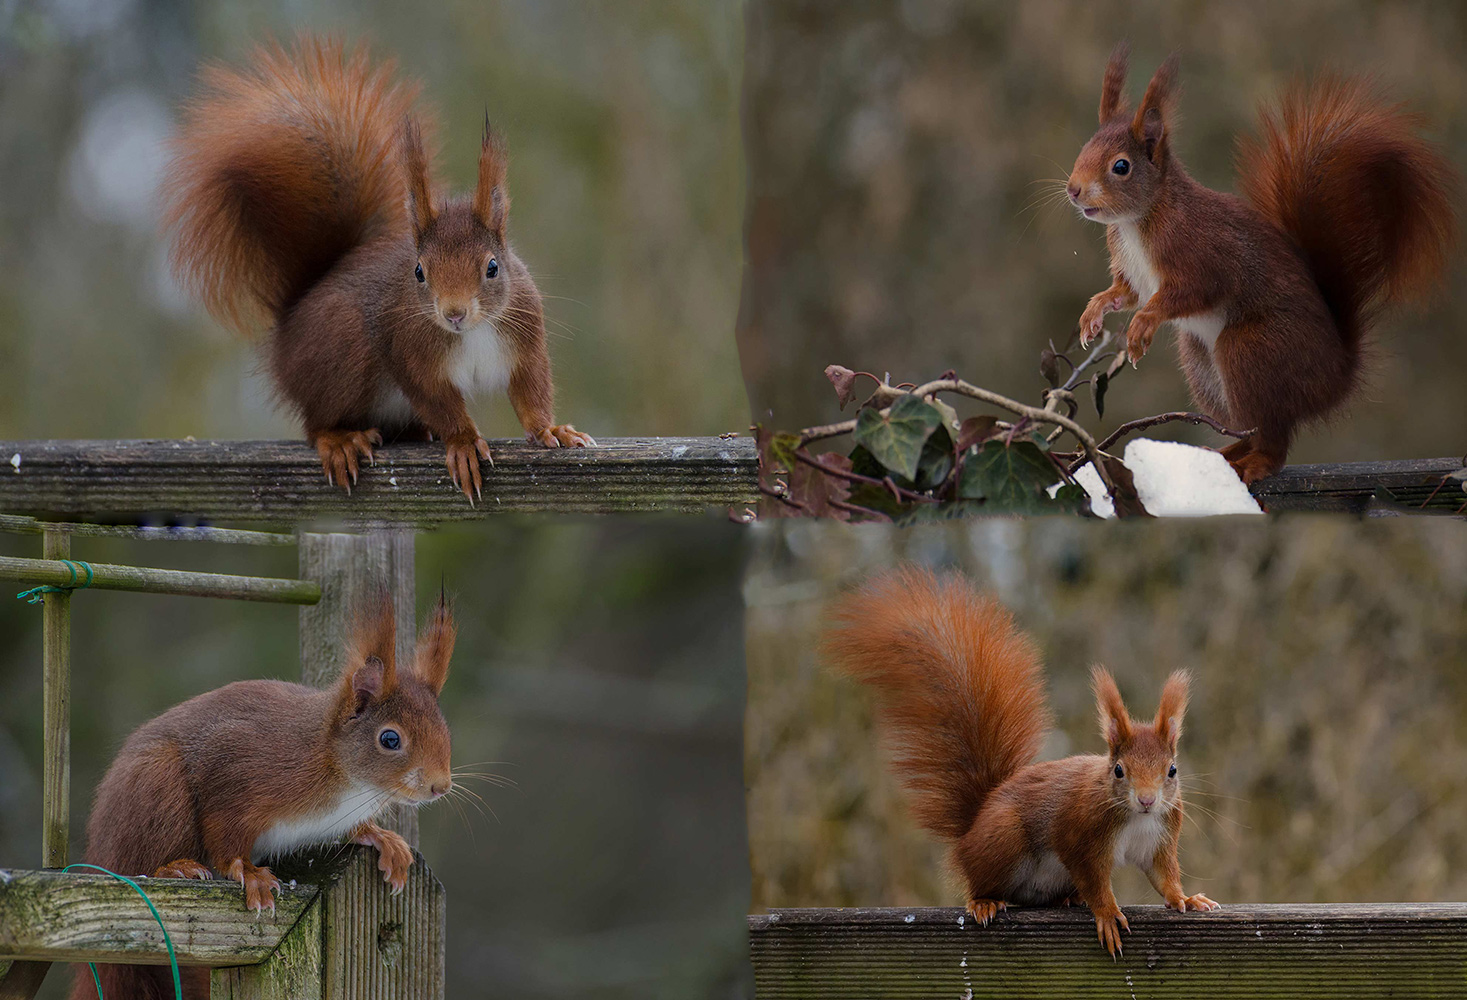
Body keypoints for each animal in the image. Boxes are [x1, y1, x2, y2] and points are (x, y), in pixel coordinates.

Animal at [72, 592, 451, 997]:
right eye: (390, 739)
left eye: (444, 730)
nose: (440, 786)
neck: (347, 781)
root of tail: (99, 852)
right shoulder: (235, 770)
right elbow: (224, 836)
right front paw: (249, 873)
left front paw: (381, 838)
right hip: (156, 788)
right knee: (138, 863)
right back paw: (174, 867)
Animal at [163, 37, 592, 498]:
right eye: (419, 272)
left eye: (493, 267)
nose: (453, 313)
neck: (473, 332)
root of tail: (288, 331)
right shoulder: (411, 356)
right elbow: (441, 404)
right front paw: (462, 443)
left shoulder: (525, 342)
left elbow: (531, 391)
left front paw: (552, 430)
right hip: (344, 349)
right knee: (315, 423)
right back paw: (340, 440)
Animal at [827, 565, 1214, 956]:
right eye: (1119, 770)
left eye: (1172, 770)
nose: (1147, 800)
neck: (1136, 818)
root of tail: (972, 829)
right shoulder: (1079, 835)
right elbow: (1094, 881)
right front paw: (1106, 913)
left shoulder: (1160, 839)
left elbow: (1163, 877)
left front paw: (1186, 899)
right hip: (1004, 838)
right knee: (981, 883)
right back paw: (985, 901)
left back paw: (1067, 900)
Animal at [1067, 44, 1455, 480]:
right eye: (1083, 151)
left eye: (1121, 166)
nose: (1074, 190)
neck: (1136, 222)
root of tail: (1335, 376)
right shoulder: (1129, 269)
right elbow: (1124, 293)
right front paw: (1094, 312)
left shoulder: (1201, 253)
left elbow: (1191, 292)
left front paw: (1143, 325)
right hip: (1201, 363)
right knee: (1251, 430)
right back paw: (1227, 453)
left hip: (1251, 350)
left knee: (1274, 442)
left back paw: (1253, 465)